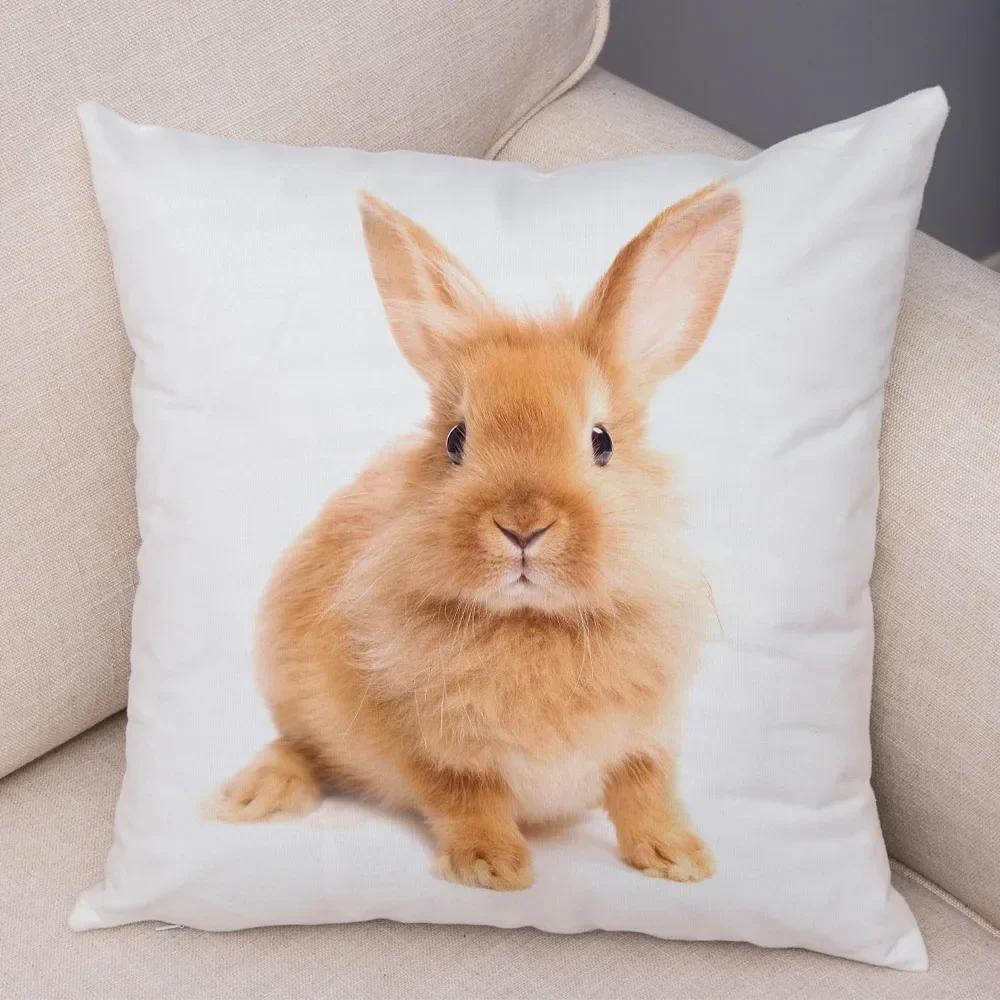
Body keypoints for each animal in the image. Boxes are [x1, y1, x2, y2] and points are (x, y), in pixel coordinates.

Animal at [213, 181, 742, 892]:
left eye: (601, 441)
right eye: (455, 440)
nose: (523, 526)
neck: (532, 624)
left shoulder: (645, 738)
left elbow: (644, 792)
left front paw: (678, 859)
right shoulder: (435, 752)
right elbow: (469, 799)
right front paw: (494, 868)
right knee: (299, 747)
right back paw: (255, 794)